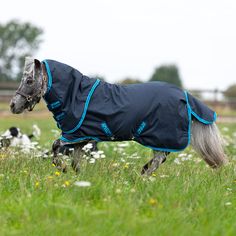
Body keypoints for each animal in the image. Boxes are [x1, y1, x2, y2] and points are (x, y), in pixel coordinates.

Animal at [10, 57, 228, 174]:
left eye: (29, 80)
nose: (13, 105)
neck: (75, 93)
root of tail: (185, 95)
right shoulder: (81, 138)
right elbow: (75, 161)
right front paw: (78, 176)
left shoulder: (72, 136)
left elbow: (55, 149)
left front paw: (62, 170)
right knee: (160, 159)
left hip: (161, 136)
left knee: (159, 159)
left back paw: (142, 176)